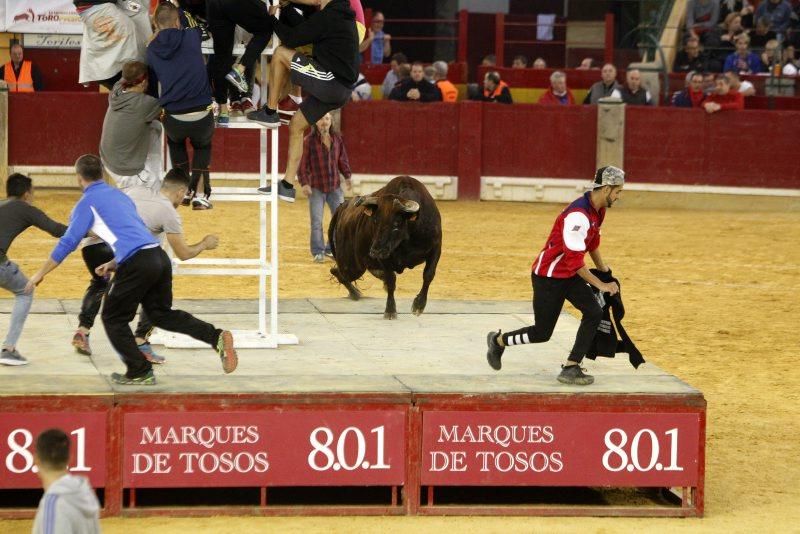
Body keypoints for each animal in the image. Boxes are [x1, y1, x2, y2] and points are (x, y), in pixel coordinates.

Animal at [328, 176, 446, 320]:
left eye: (396, 223)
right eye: (374, 221)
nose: (374, 251)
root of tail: (343, 206)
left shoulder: (436, 248)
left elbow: (428, 275)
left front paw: (419, 306)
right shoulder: (385, 258)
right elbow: (391, 280)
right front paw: (390, 310)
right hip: (352, 265)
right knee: (337, 272)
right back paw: (355, 293)